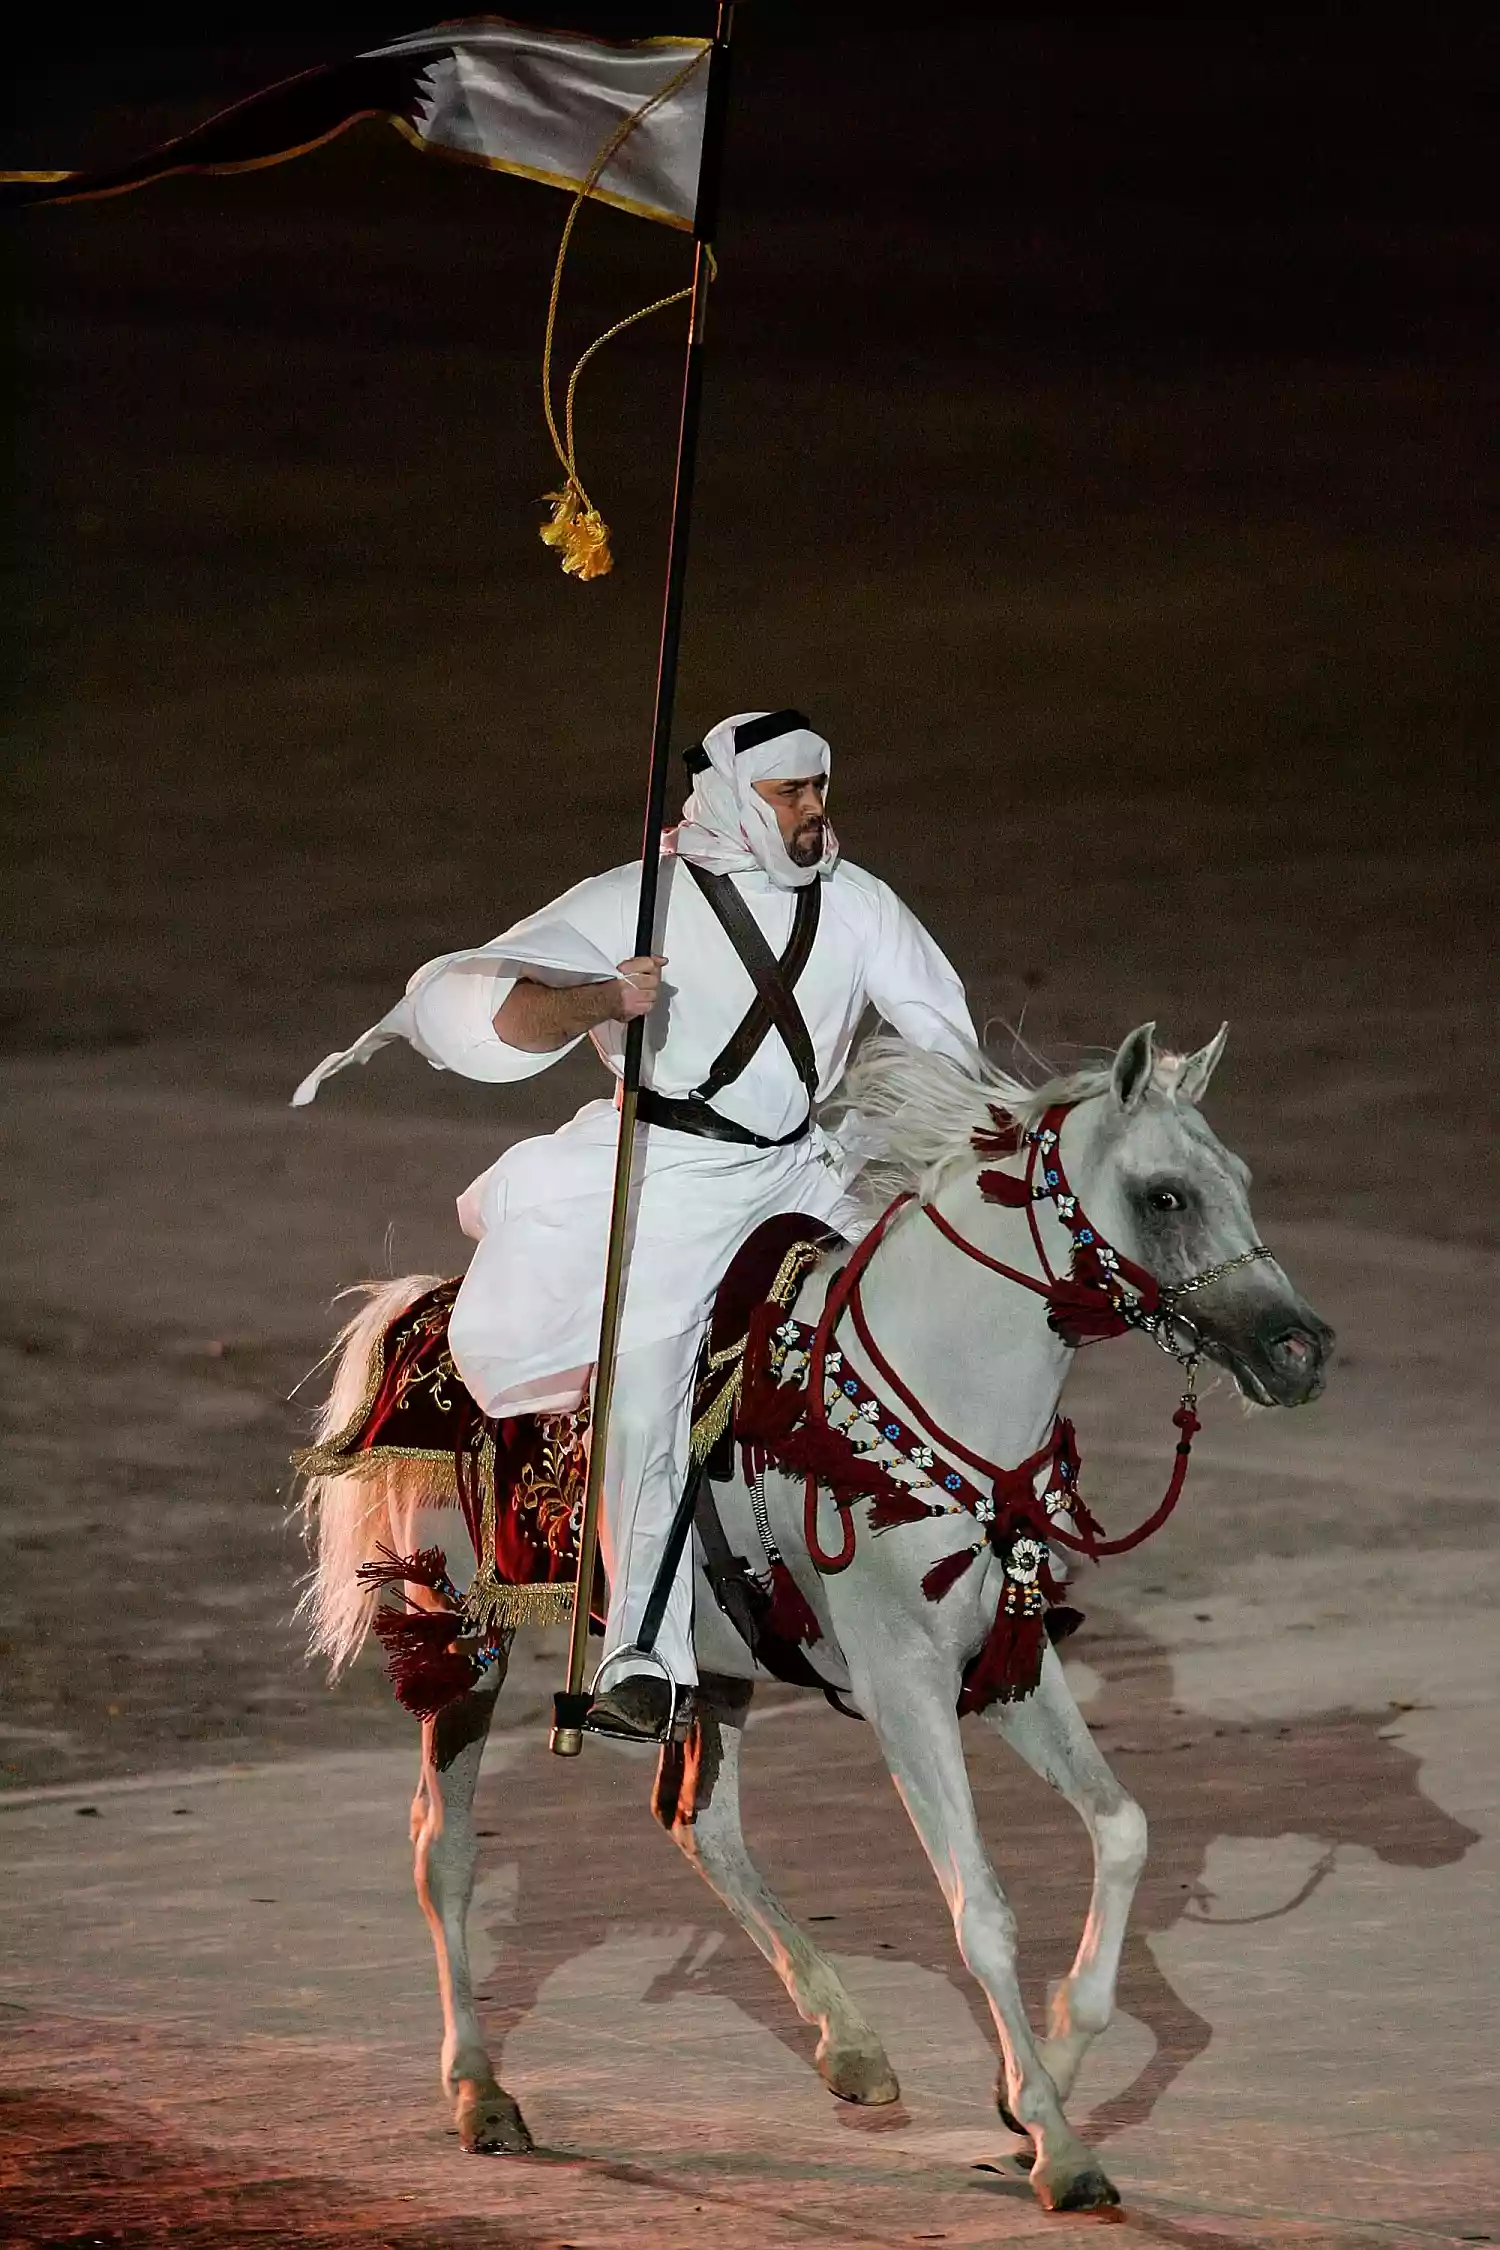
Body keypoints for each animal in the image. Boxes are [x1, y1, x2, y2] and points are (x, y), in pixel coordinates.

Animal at [299, 1030, 1331, 2223]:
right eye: (1167, 1196)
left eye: (1240, 1180)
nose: (1304, 1349)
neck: (931, 1399)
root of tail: (430, 1310)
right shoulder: (904, 1689)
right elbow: (981, 1906)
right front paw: (1058, 2144)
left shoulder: (1007, 1667)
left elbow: (1123, 1830)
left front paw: (1038, 2083)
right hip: (463, 1638)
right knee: (447, 1851)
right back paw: (481, 2093)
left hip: (711, 1666)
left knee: (701, 1823)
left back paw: (850, 2044)